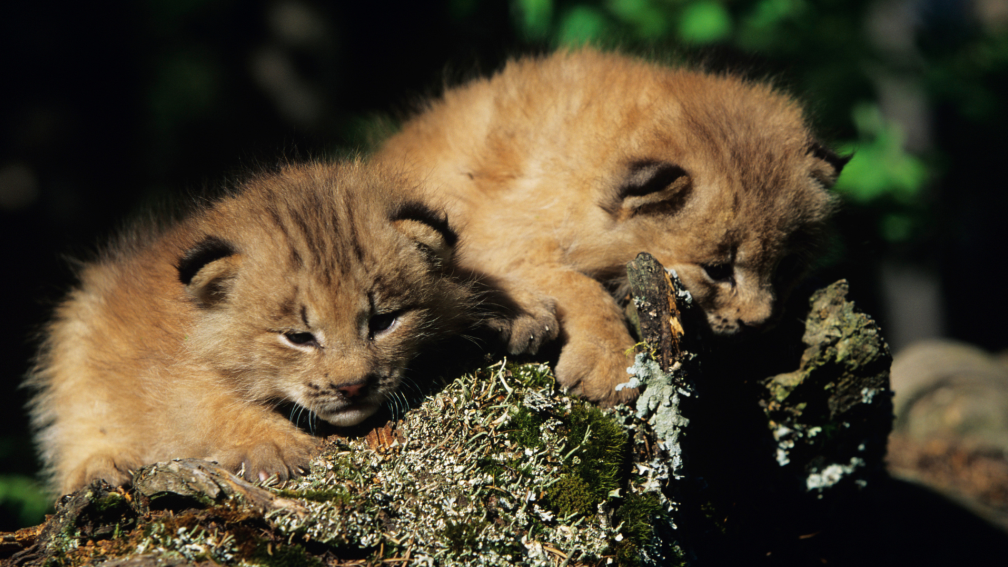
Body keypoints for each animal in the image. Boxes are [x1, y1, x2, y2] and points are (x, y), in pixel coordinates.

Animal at [26, 160, 491, 494]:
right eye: (299, 338)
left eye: (383, 322)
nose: (353, 387)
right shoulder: (174, 381)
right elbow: (217, 409)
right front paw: (276, 446)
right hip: (76, 332)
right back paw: (100, 465)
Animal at [381, 47, 846, 401]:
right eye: (717, 270)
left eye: (786, 268)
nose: (760, 322)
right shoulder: (496, 234)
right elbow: (579, 286)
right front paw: (609, 366)